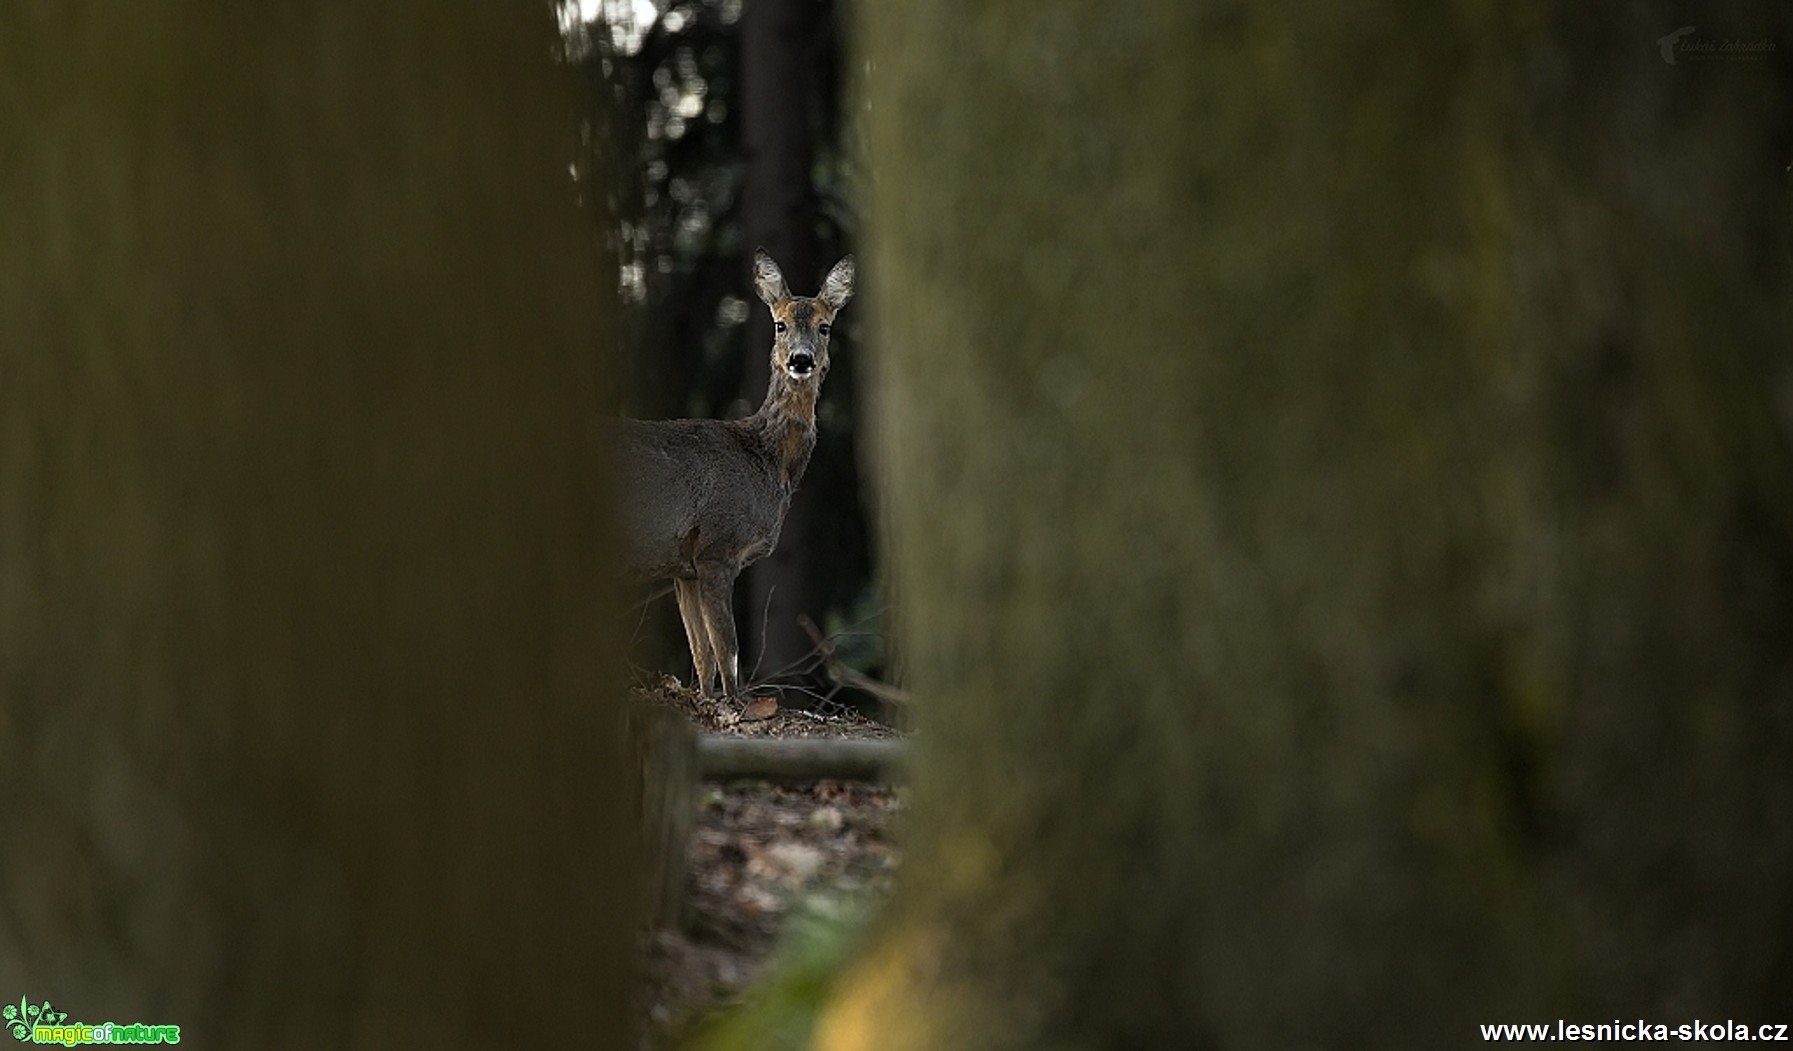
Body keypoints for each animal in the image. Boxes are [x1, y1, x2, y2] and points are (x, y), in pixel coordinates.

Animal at [620, 249, 857, 699]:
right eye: (780, 324)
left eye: (824, 326)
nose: (801, 360)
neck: (768, 461)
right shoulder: (717, 545)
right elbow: (726, 650)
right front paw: (735, 704)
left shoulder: (684, 567)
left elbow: (702, 656)